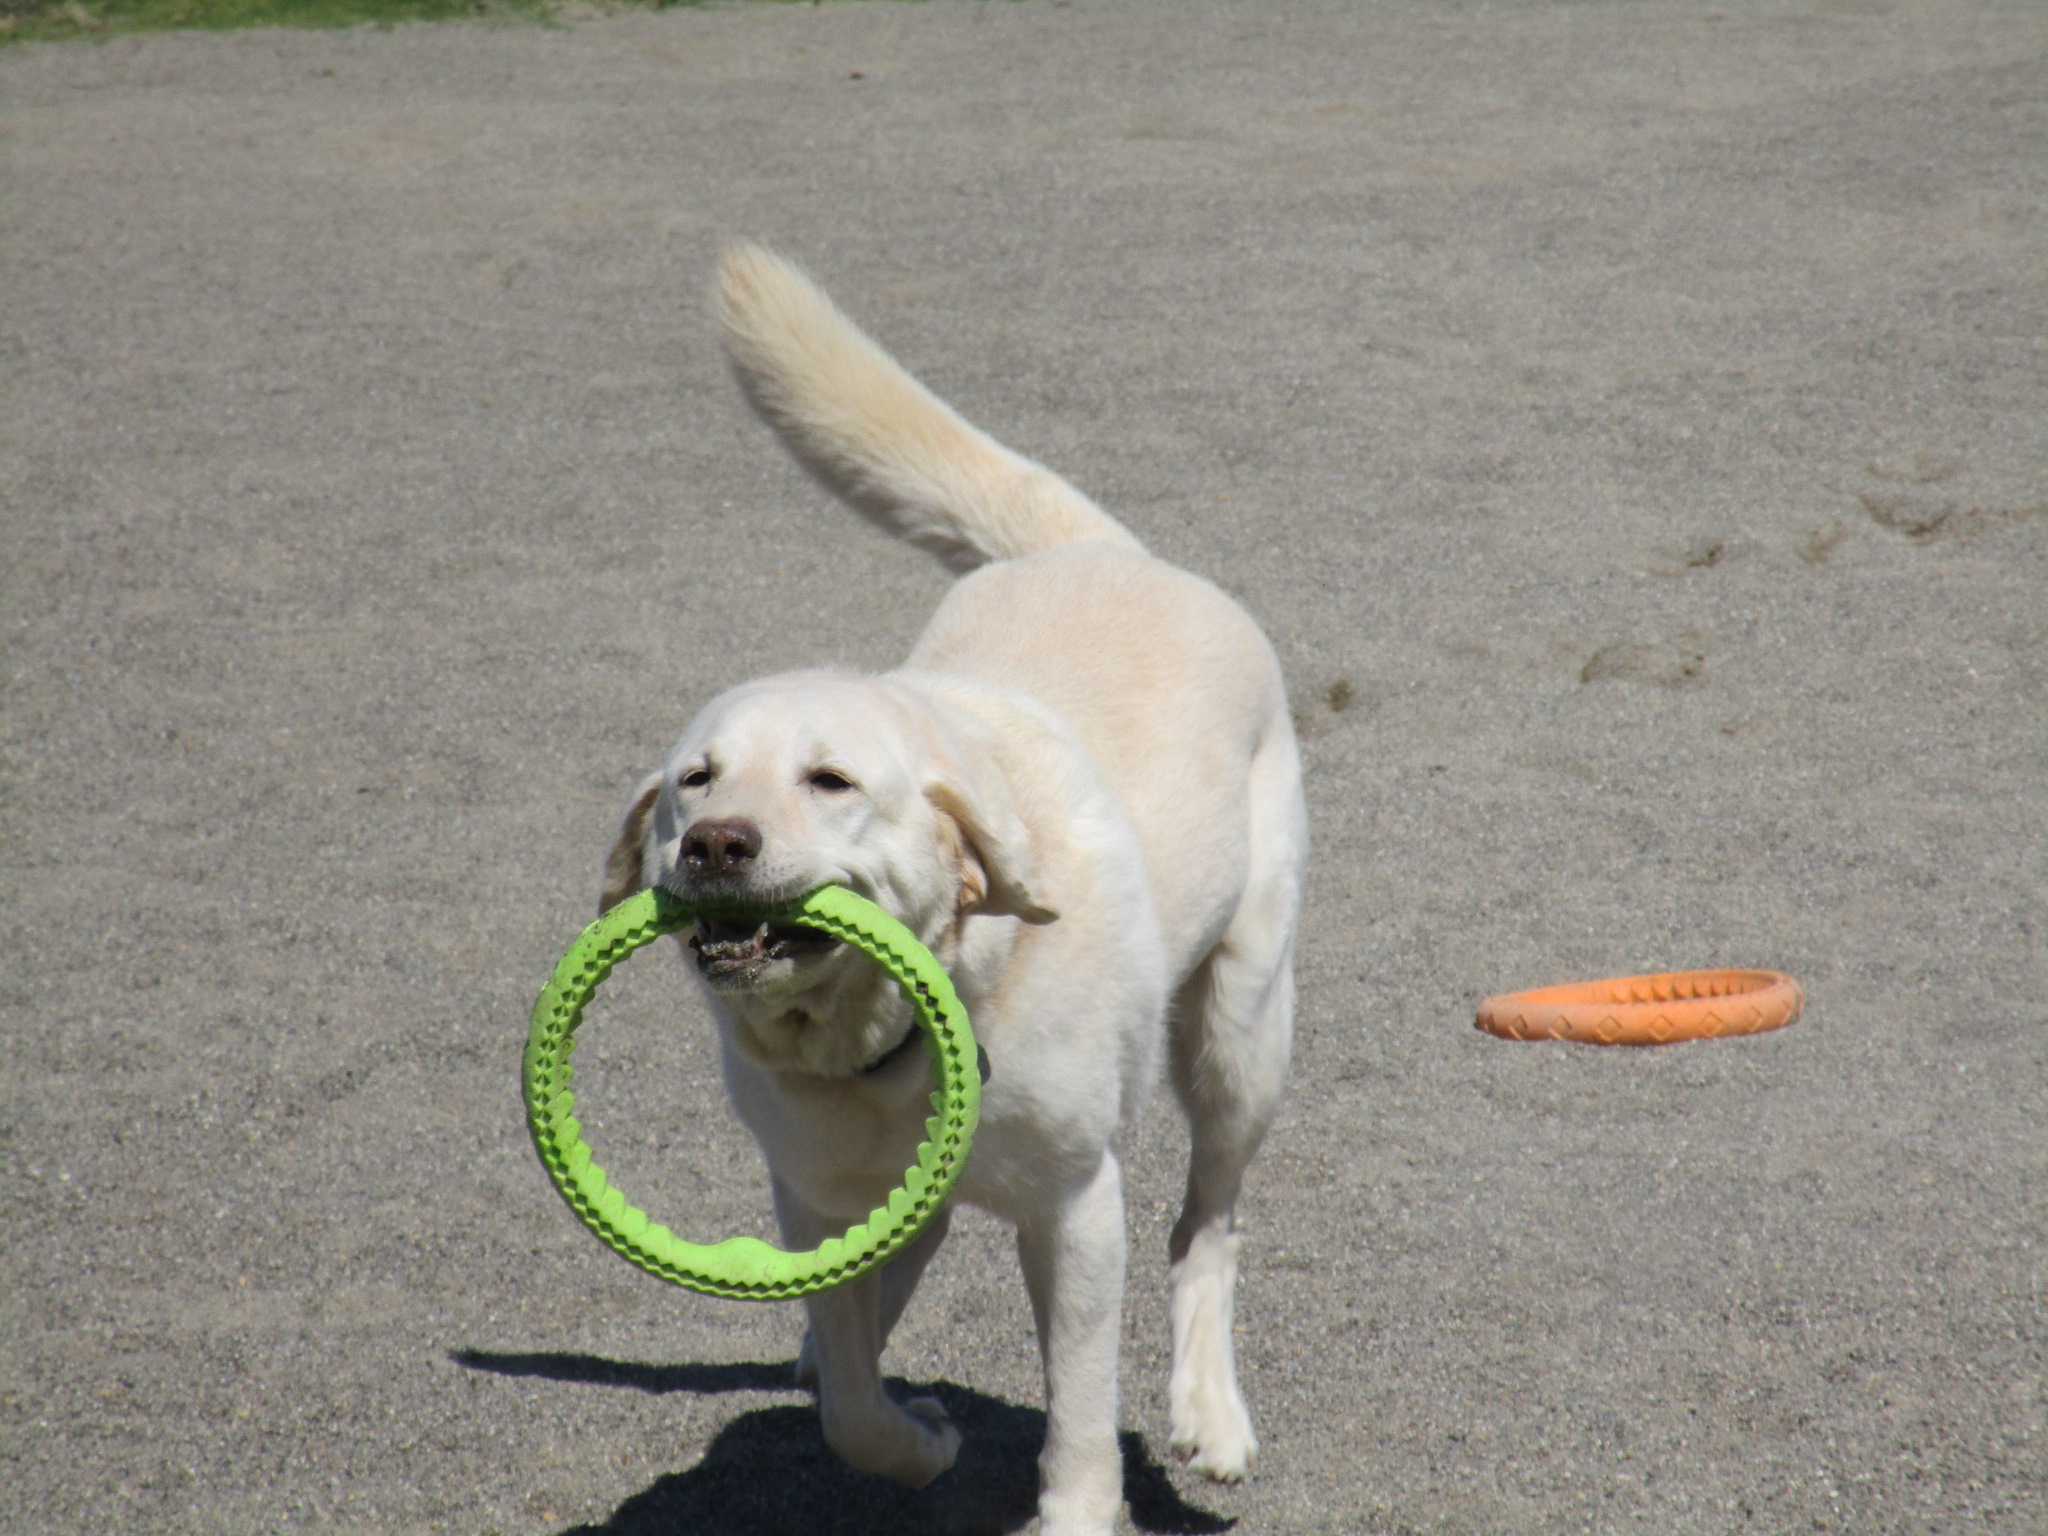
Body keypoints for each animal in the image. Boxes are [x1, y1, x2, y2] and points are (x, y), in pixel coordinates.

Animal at [598, 246, 1302, 1531]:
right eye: (693, 779)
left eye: (828, 781)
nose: (714, 844)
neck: (890, 1045)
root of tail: (1101, 551)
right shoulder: (815, 1197)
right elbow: (851, 1400)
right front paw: (914, 1444)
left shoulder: (1077, 1210)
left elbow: (1078, 1410)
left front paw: (1072, 1511)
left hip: (1241, 1030)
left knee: (1206, 1225)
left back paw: (1209, 1411)